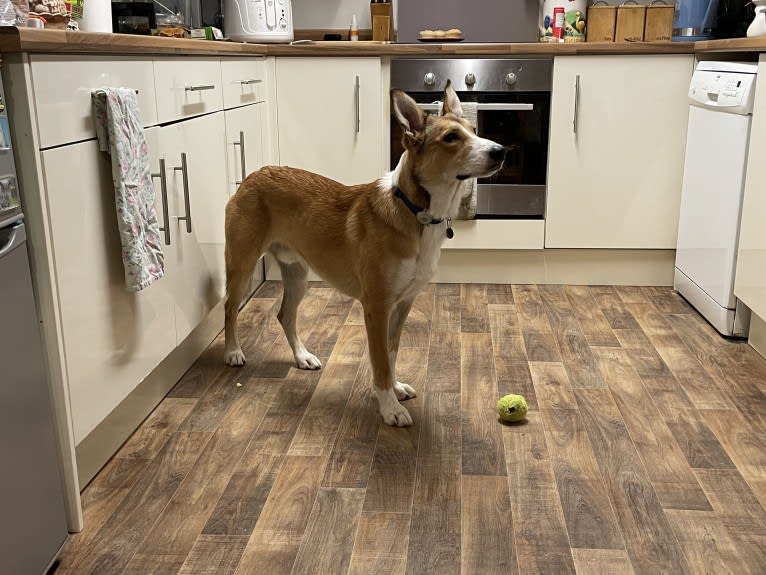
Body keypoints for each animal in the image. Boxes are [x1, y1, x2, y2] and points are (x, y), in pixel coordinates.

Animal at [225, 81, 508, 428]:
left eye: (474, 130)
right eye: (451, 138)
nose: (500, 151)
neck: (416, 212)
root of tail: (254, 174)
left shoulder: (402, 304)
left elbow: (392, 351)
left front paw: (395, 389)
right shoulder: (376, 306)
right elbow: (380, 360)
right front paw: (389, 408)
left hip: (297, 273)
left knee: (285, 315)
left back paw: (302, 357)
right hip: (242, 264)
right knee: (229, 307)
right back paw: (233, 352)